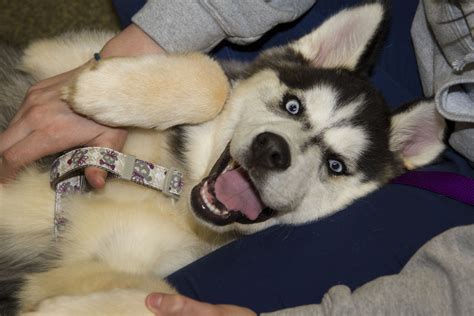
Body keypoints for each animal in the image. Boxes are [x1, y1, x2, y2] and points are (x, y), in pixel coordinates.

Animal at [0, 3, 446, 316]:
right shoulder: (54, 54)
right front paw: (100, 90)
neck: (173, 190)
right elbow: (212, 77)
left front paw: (63, 310)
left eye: (335, 164)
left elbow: (168, 295)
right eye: (293, 105)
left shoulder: (89, 268)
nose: (272, 149)